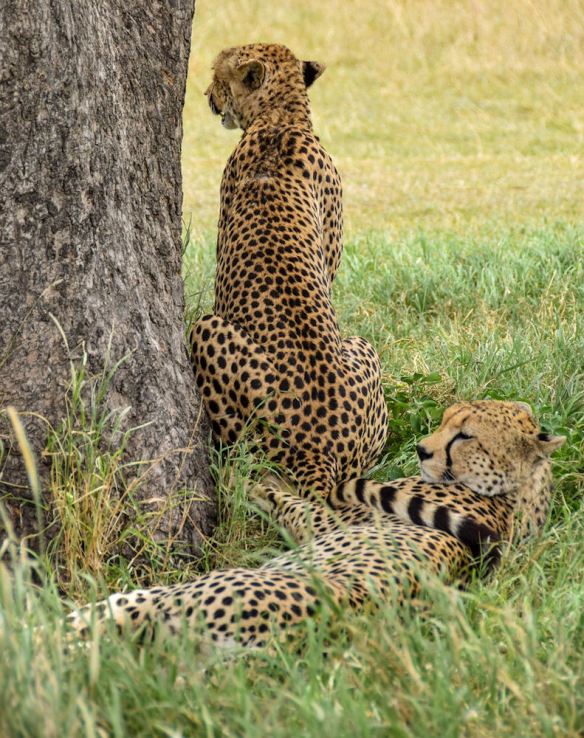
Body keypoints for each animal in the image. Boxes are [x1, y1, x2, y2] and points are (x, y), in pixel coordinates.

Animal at [67, 401, 565, 647]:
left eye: (465, 435)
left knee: (80, 626)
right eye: (445, 421)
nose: (422, 449)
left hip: (170, 594)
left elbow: (287, 501)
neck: (515, 496)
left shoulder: (334, 519)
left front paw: (244, 476)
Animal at [188, 43, 388, 497]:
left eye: (217, 76)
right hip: (362, 349)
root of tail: (321, 446)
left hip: (205, 328)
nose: (206, 96)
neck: (281, 117)